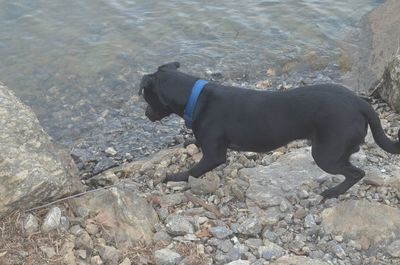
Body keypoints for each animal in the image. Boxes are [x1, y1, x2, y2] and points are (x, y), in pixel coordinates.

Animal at [138, 62, 400, 198]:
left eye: (147, 97)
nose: (146, 114)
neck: (196, 97)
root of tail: (361, 104)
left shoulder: (214, 156)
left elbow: (193, 170)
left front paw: (173, 177)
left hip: (326, 154)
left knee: (357, 173)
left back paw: (332, 193)